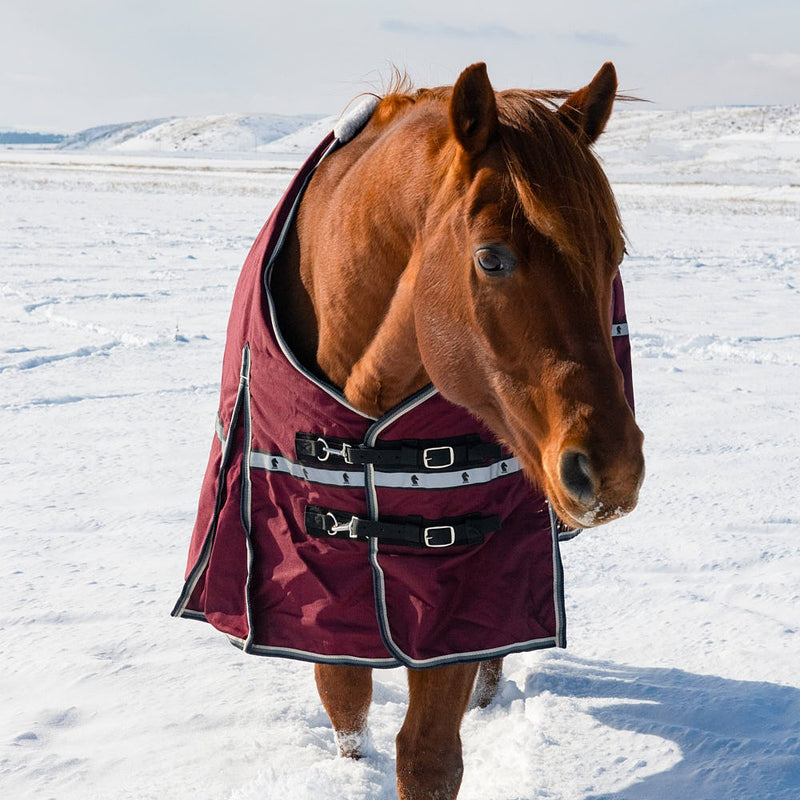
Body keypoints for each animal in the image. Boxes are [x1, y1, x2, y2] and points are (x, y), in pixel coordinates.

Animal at [267, 61, 645, 800]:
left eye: (614, 254)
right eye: (491, 258)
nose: (614, 469)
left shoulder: (458, 583)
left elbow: (430, 754)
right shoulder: (320, 576)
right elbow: (345, 698)